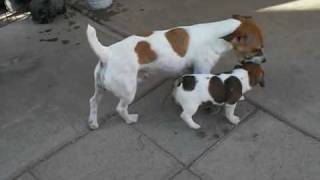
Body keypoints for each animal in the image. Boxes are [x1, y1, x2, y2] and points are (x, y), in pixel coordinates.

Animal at [85, 14, 264, 129]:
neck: (217, 36)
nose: (265, 60)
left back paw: (93, 123)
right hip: (128, 91)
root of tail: (107, 53)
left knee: (93, 102)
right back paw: (129, 119)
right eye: (256, 49)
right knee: (120, 108)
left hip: (100, 88)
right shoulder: (202, 69)